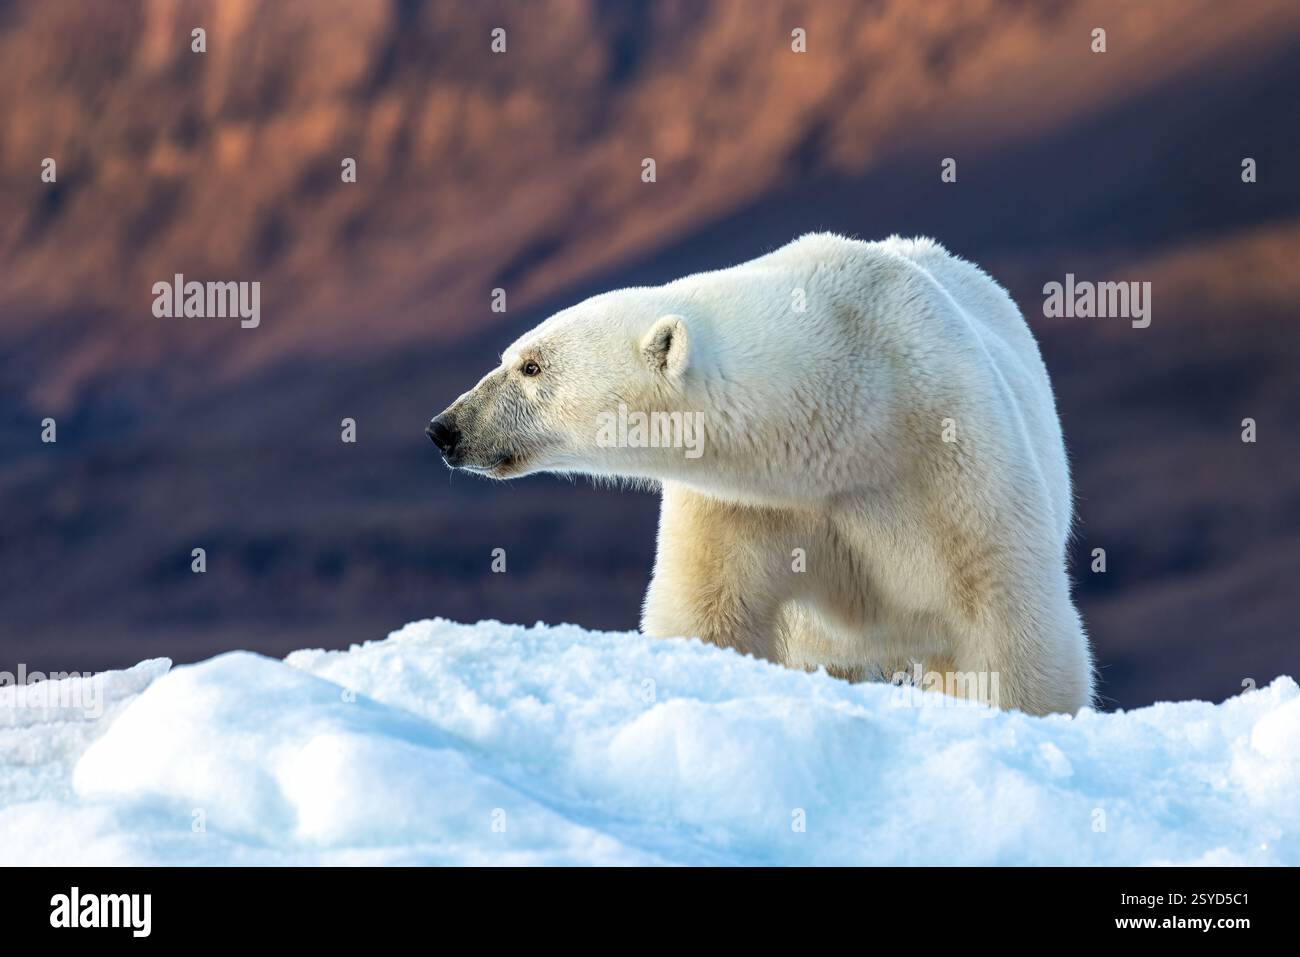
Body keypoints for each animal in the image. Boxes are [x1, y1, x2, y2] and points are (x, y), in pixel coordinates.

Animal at [428, 233, 1095, 715]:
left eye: (531, 366)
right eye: (512, 357)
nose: (446, 429)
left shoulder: (950, 457)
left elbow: (1006, 623)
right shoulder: (742, 502)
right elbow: (708, 611)